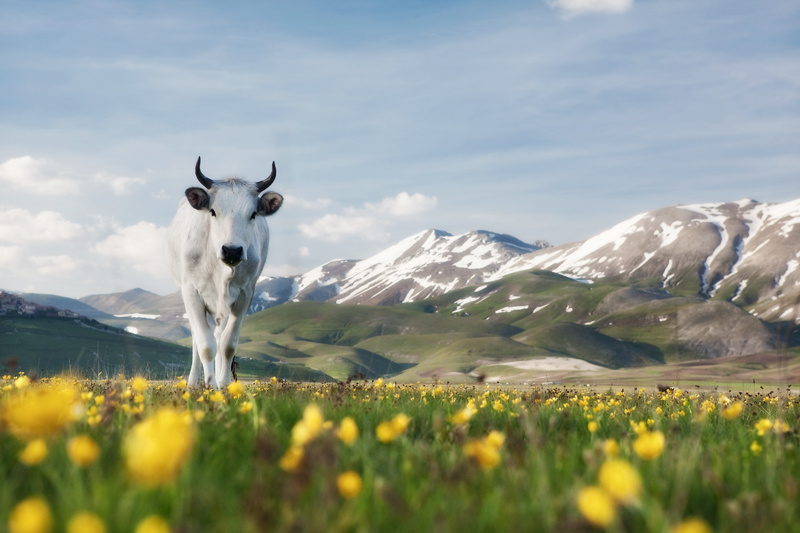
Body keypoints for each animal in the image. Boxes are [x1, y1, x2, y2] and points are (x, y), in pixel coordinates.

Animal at [166, 157, 283, 388]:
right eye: (213, 212)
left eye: (253, 214)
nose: (232, 250)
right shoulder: (191, 292)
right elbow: (205, 345)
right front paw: (209, 386)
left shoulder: (245, 294)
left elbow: (227, 345)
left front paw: (224, 385)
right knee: (197, 338)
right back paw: (194, 381)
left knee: (220, 336)